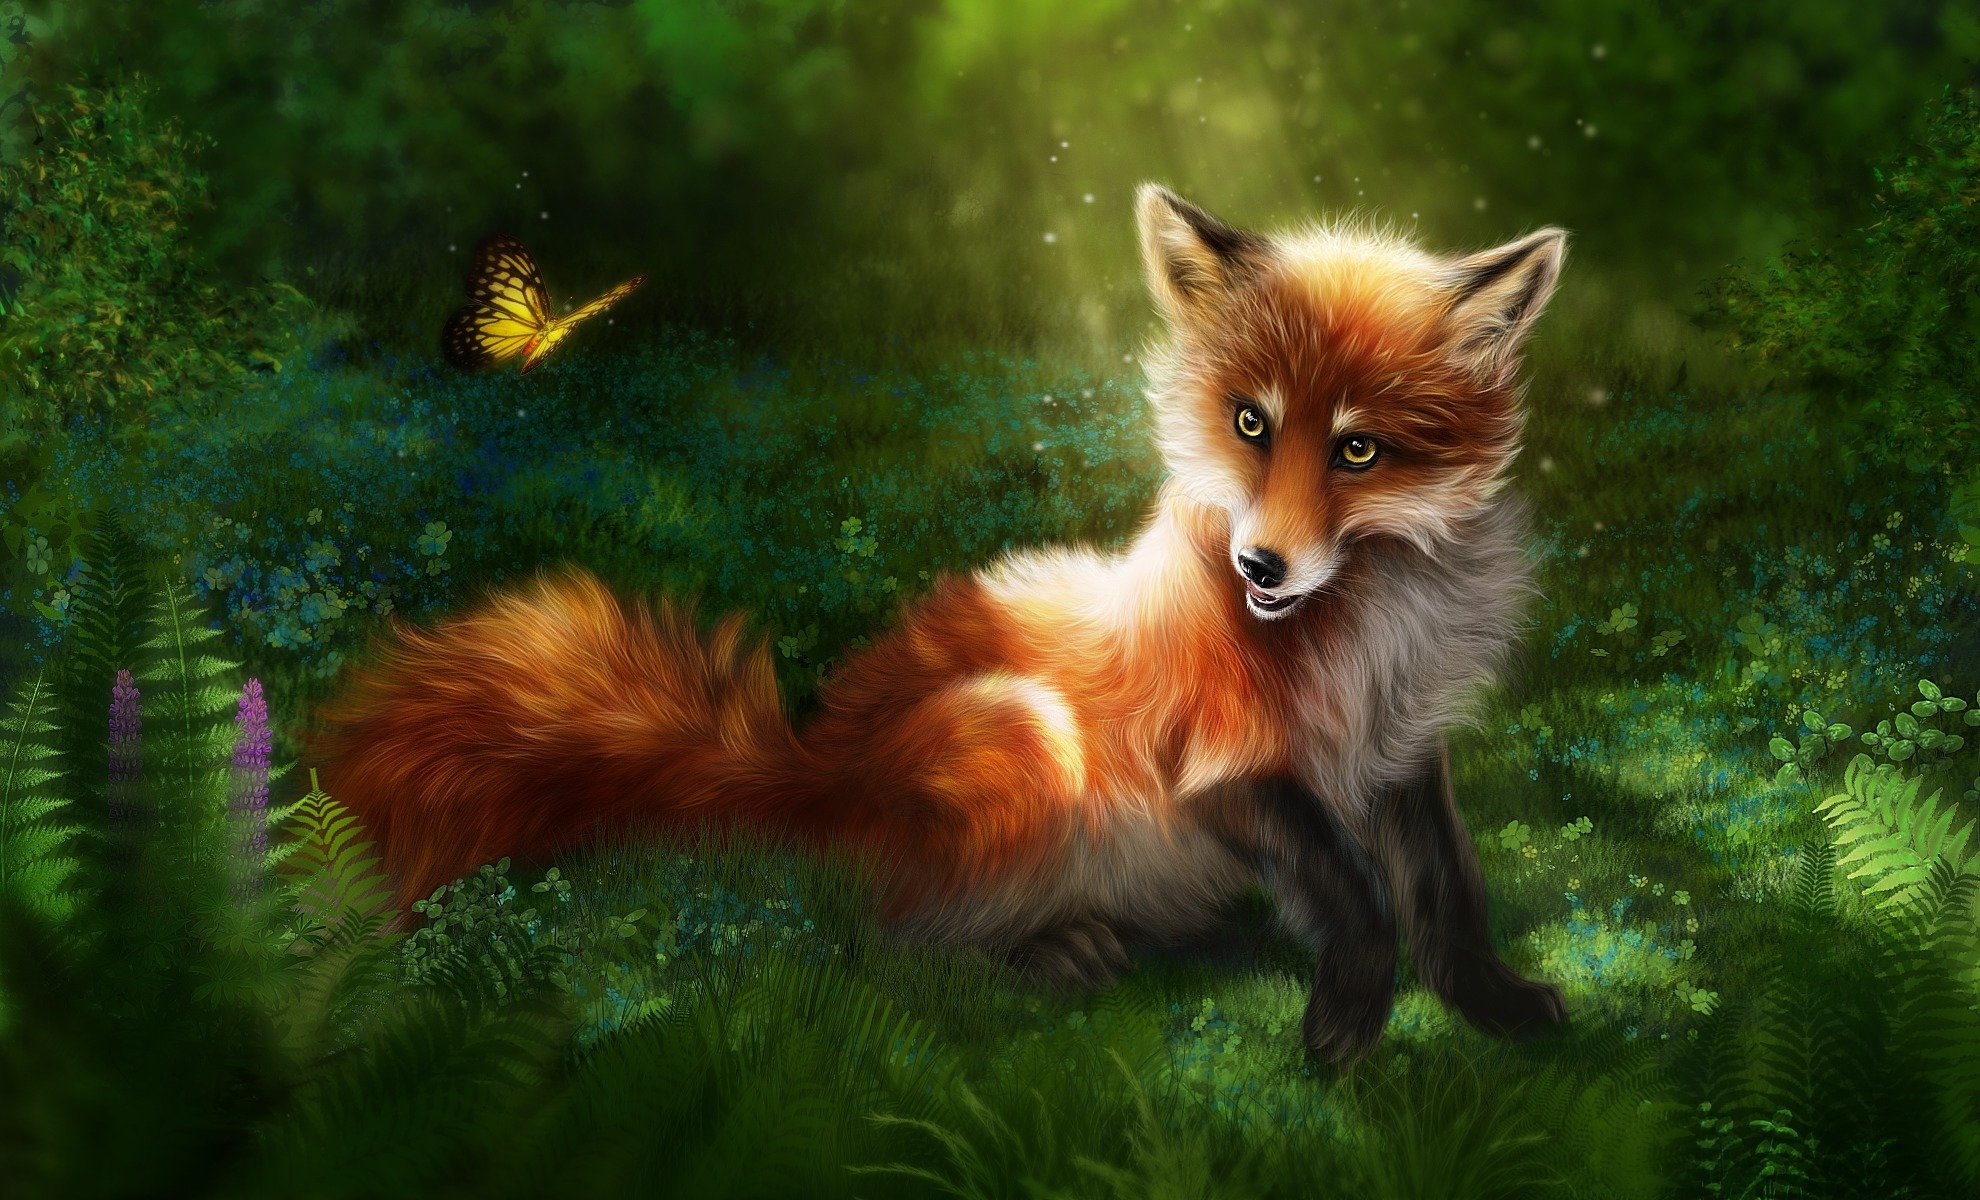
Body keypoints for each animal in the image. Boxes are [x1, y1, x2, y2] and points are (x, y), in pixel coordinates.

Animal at [318, 184, 1570, 1062]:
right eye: (1251, 423)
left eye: (1358, 449)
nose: (1258, 563)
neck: (1365, 632)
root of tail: (817, 771)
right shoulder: (1225, 763)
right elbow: (1359, 901)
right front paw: (1346, 1025)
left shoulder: (1399, 755)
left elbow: (1446, 897)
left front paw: (1495, 1009)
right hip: (1026, 741)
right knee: (887, 957)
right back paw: (1050, 958)